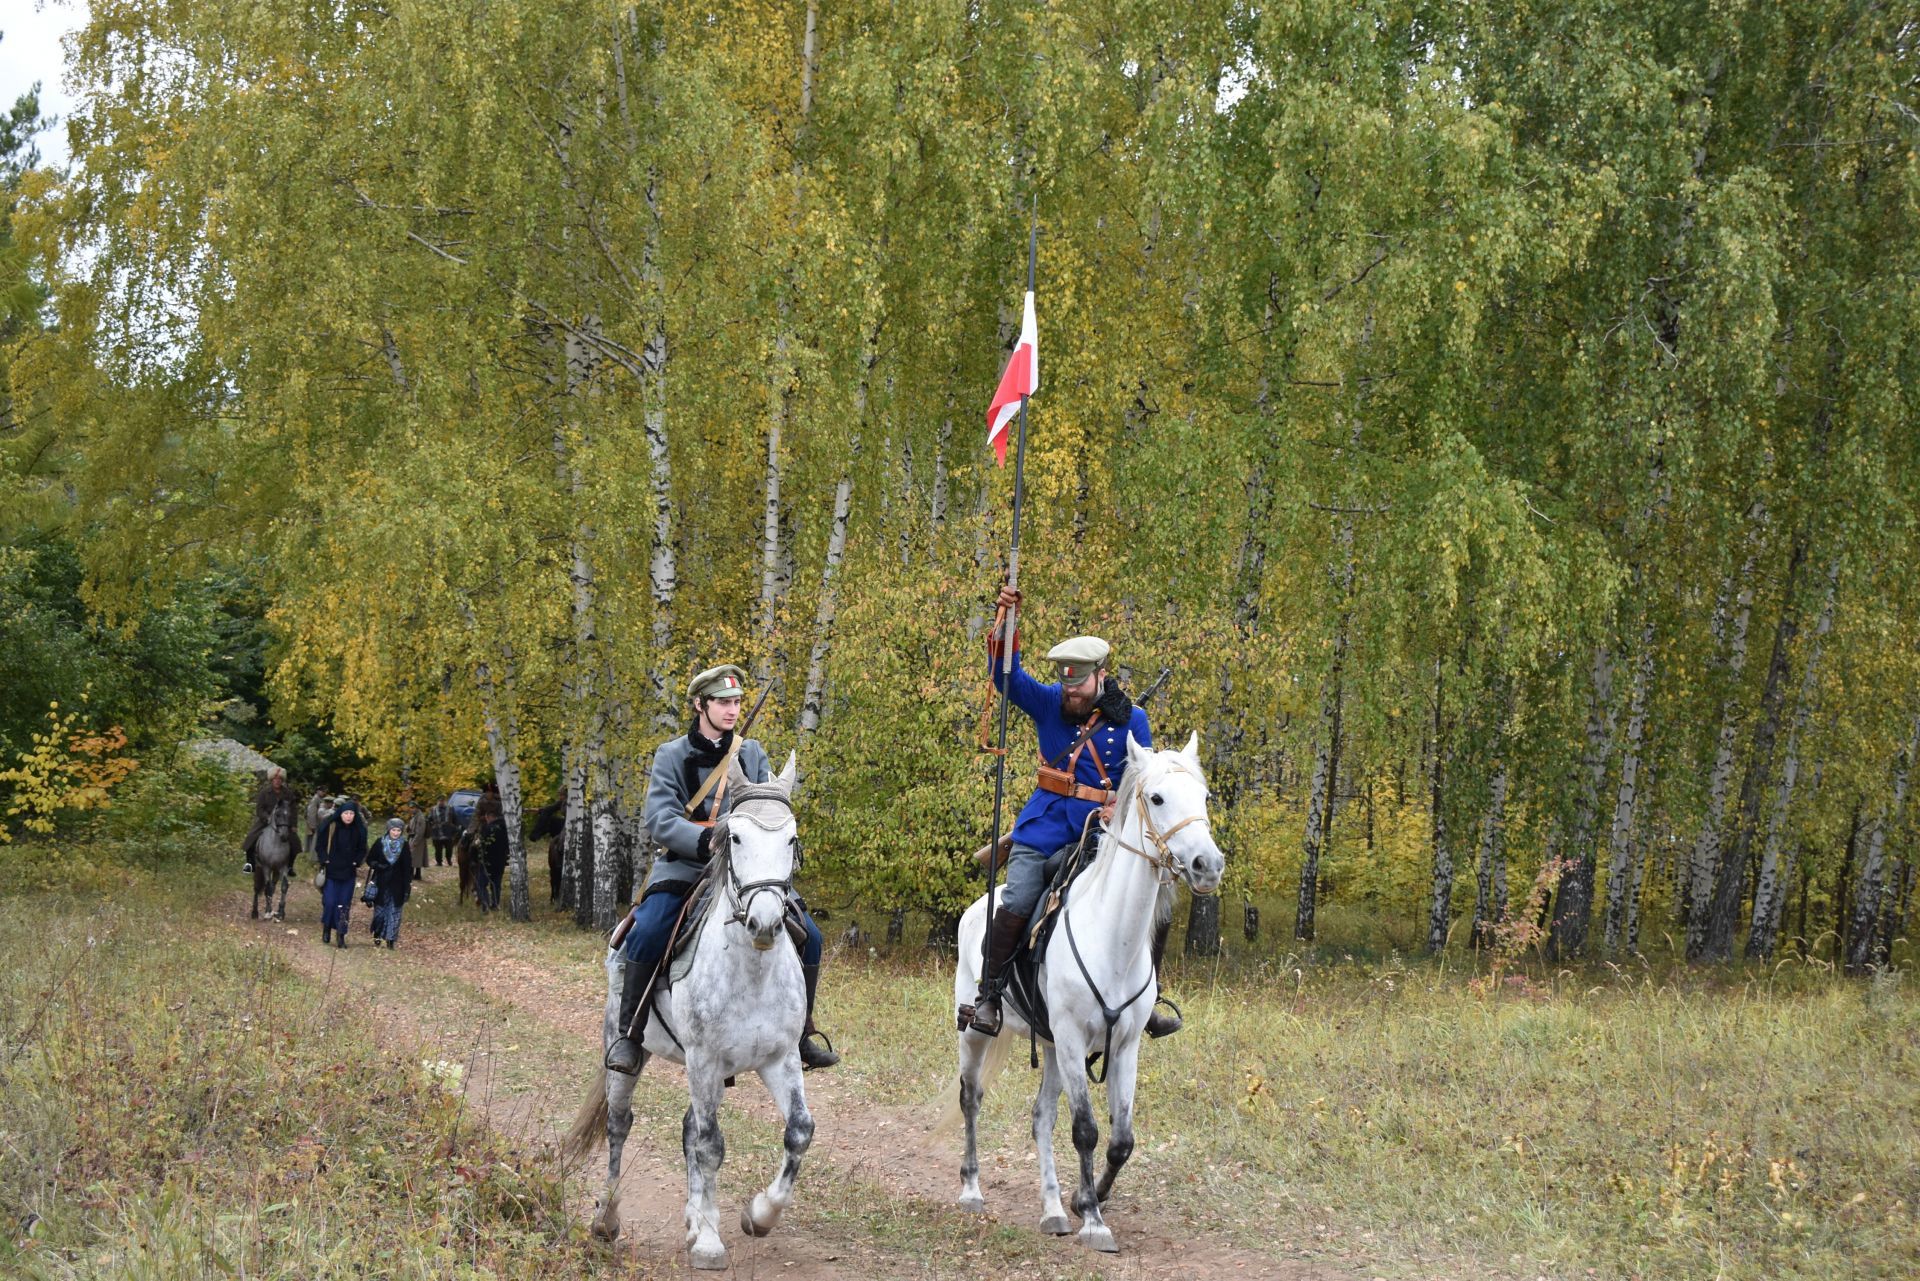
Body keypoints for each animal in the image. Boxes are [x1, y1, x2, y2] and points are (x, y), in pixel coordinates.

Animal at [253, 791, 301, 921]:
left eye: (290, 815)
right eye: (278, 815)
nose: (284, 836)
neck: (275, 844)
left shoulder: (283, 867)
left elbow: (283, 887)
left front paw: (280, 913)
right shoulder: (266, 867)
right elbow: (267, 888)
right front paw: (269, 912)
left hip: (276, 872)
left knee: (272, 887)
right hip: (259, 868)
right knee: (258, 888)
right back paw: (254, 913)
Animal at [560, 756, 817, 1267]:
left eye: (791, 838)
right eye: (734, 837)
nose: (765, 924)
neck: (752, 971)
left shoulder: (781, 1060)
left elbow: (798, 1130)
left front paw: (758, 1215)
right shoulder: (703, 1060)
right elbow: (711, 1144)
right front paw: (713, 1241)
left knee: (688, 1130)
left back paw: (695, 1217)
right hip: (629, 1053)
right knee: (621, 1125)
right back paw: (606, 1219)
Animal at [948, 729, 1228, 1252]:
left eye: (1203, 797)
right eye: (1157, 798)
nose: (1208, 865)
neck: (1113, 936)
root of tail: (978, 908)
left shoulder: (1123, 1047)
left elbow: (1121, 1140)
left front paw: (1087, 1200)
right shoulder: (1074, 1039)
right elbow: (1085, 1130)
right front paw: (1095, 1221)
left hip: (1052, 1048)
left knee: (1041, 1117)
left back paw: (1053, 1209)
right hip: (976, 1034)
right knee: (971, 1098)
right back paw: (972, 1189)